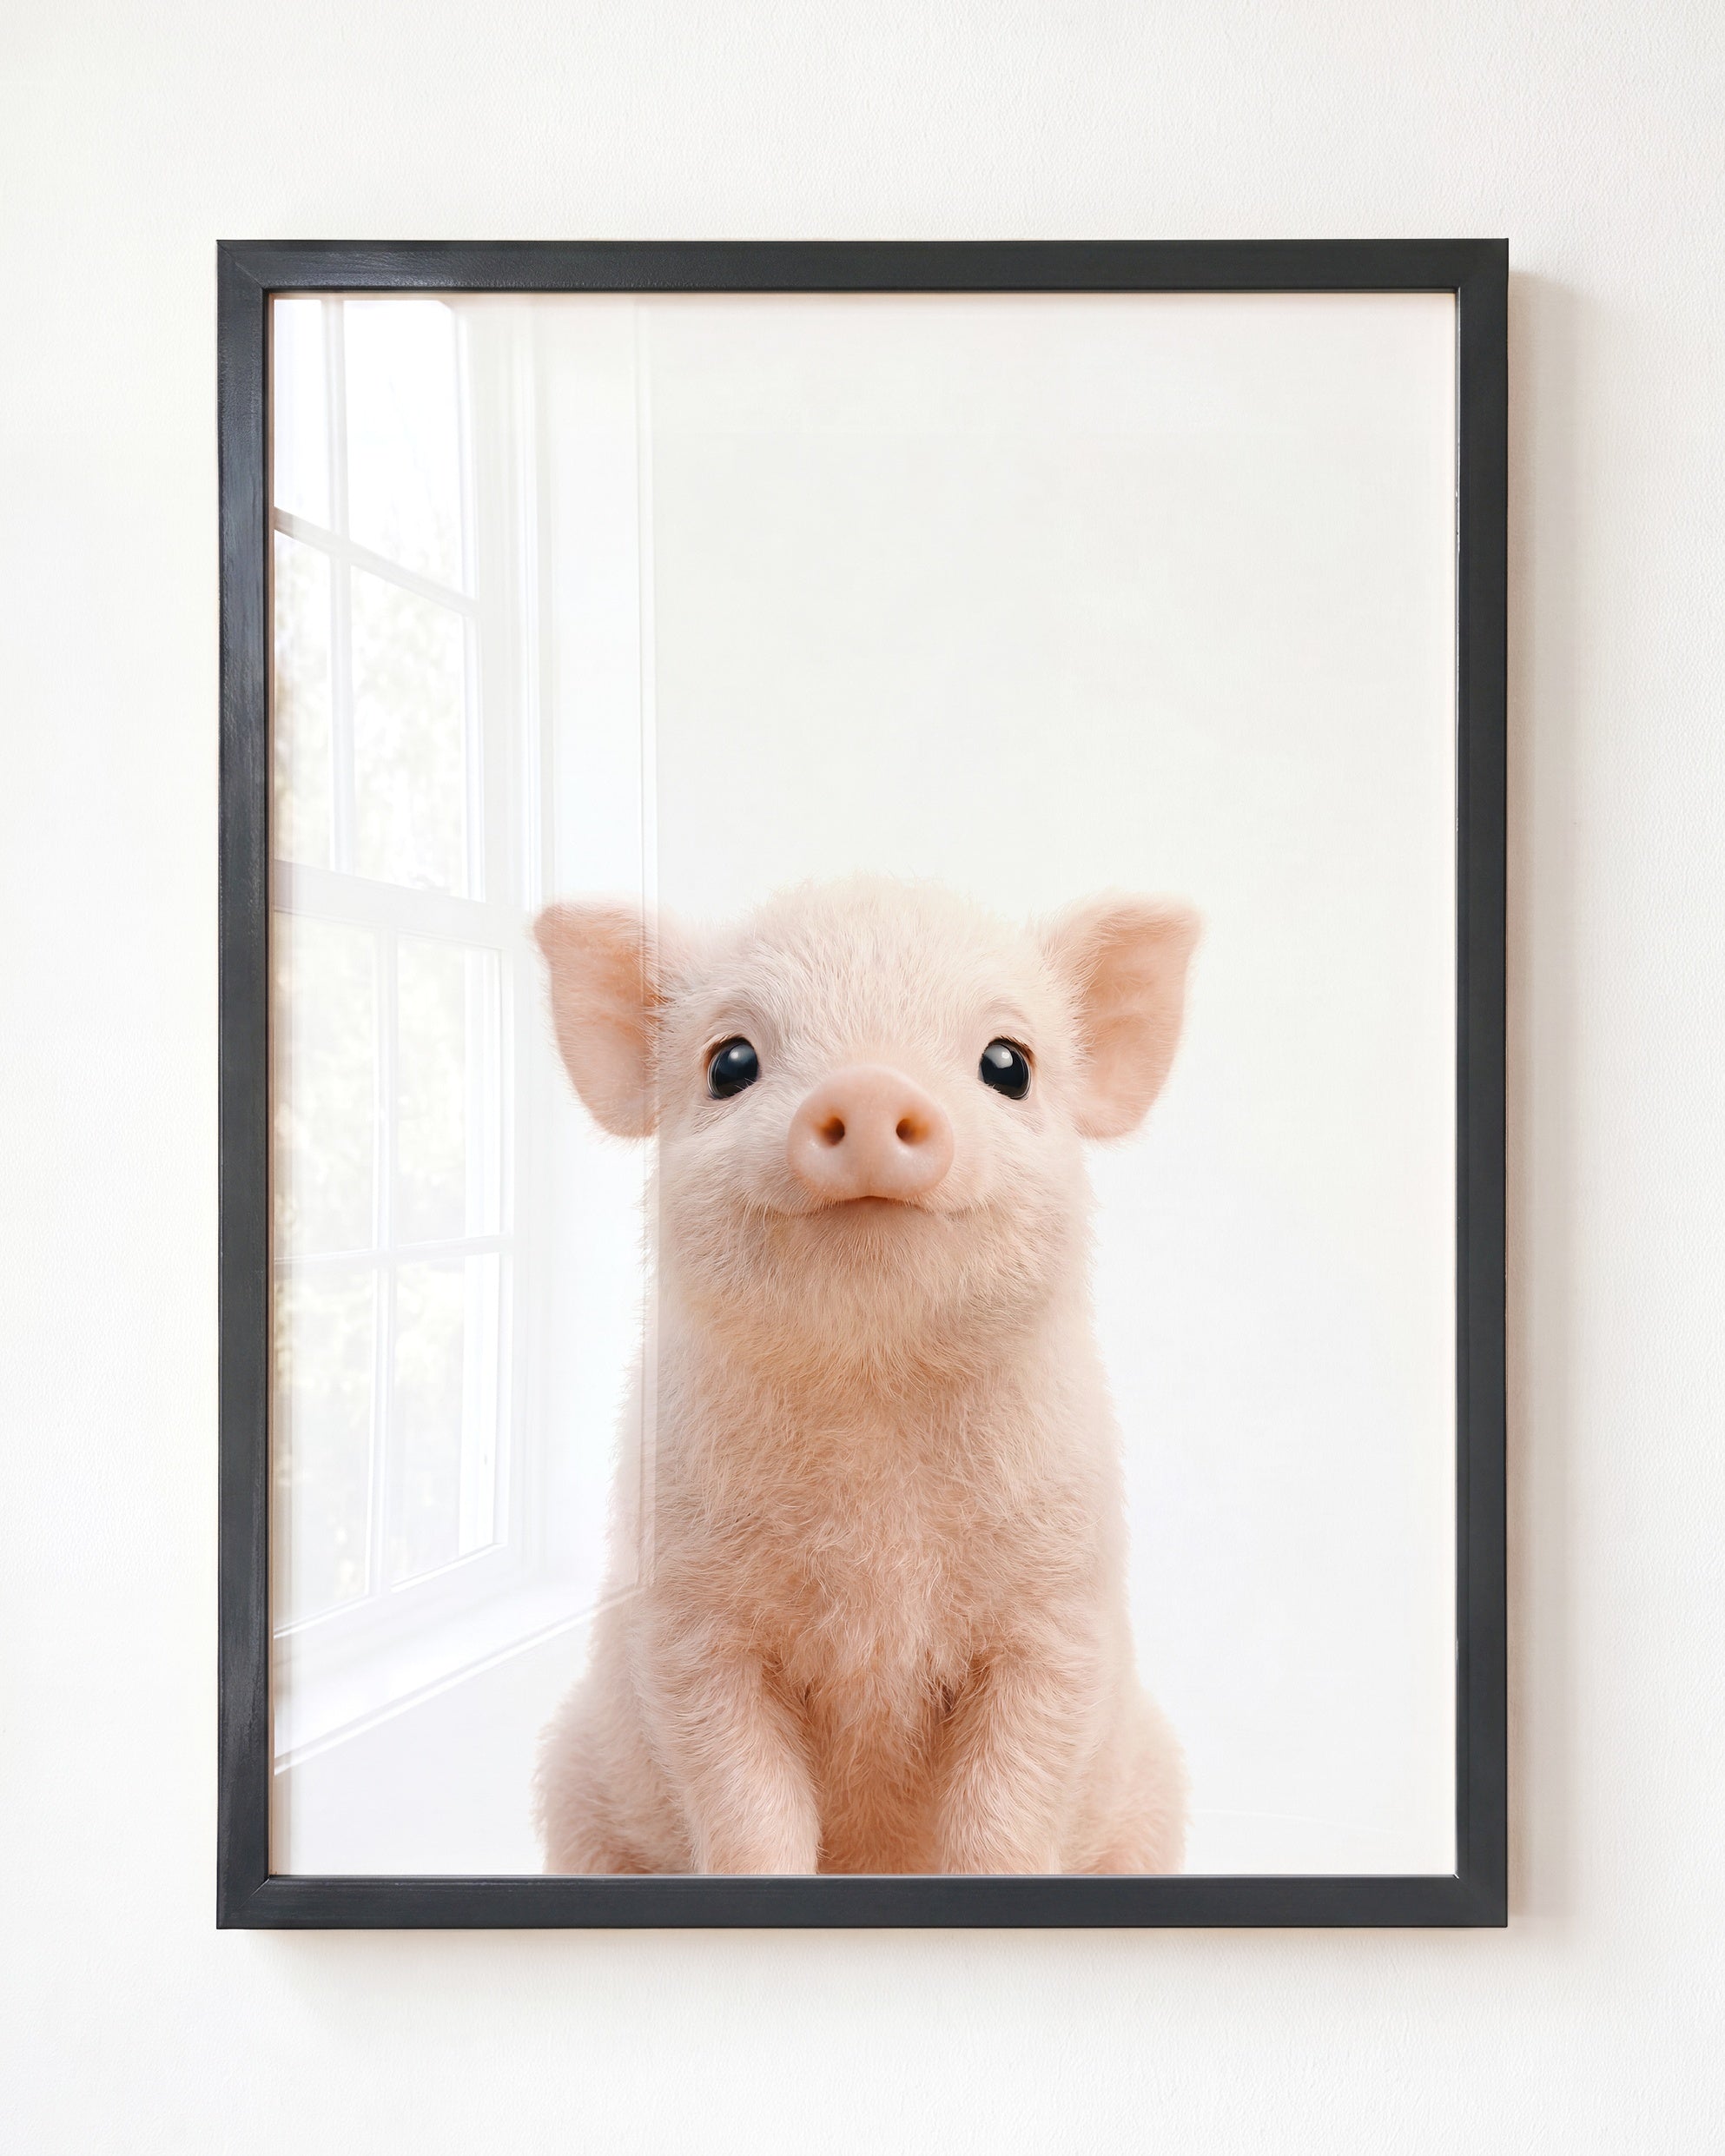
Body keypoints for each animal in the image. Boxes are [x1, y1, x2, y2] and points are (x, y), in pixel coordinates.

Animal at [531, 876, 1197, 1875]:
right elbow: (749, 1810)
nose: (872, 1084)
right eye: (730, 1062)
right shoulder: (689, 1626)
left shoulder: (1058, 1616)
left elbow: (1005, 1815)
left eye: (1009, 1064)